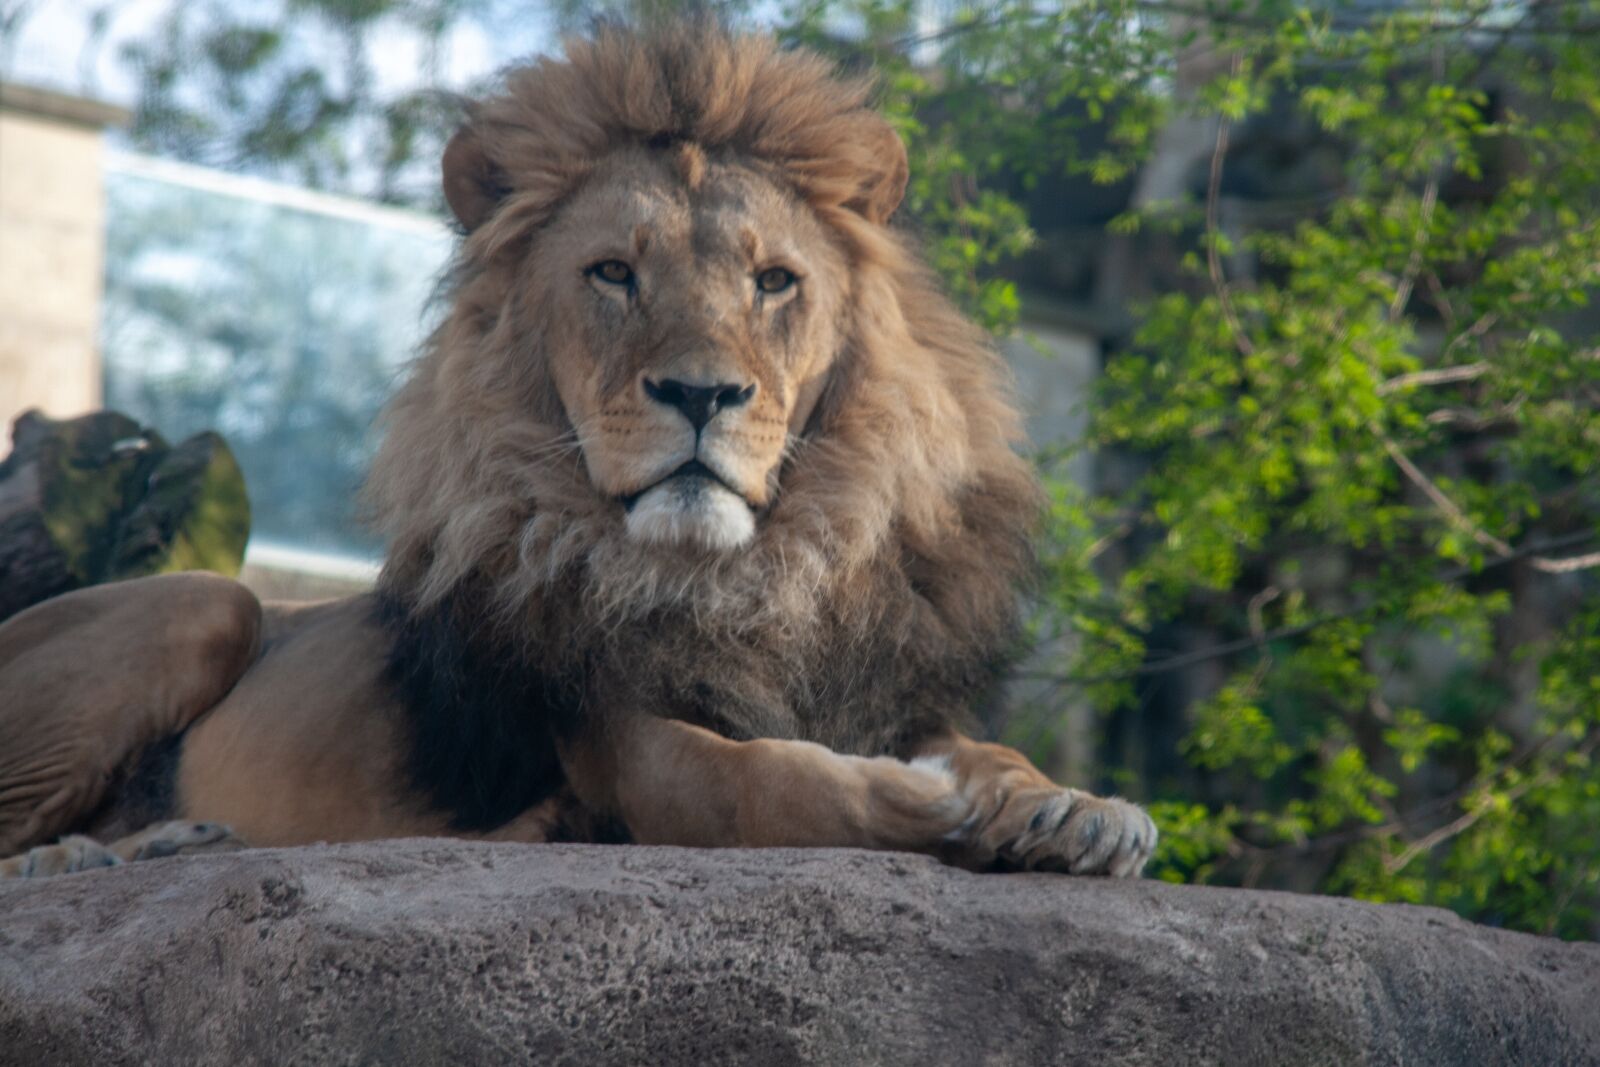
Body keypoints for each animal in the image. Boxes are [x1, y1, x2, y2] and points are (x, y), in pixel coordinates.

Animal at [0, 24, 1155, 880]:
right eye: (613, 273)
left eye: (773, 282)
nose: (702, 392)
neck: (755, 575)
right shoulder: (620, 742)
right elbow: (770, 783)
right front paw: (930, 801)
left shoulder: (881, 694)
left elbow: (988, 747)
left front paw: (1076, 807)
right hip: (207, 599)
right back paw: (110, 852)